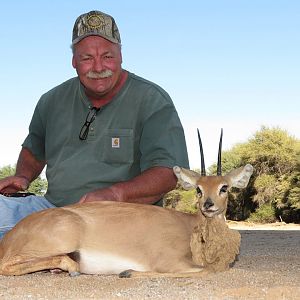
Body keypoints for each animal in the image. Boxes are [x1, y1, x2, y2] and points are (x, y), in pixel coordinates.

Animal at [0, 130, 253, 278]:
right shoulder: (170, 262)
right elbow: (205, 270)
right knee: (6, 265)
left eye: (224, 187)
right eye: (198, 189)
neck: (190, 228)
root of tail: (10, 237)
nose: (208, 205)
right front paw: (128, 272)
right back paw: (73, 267)